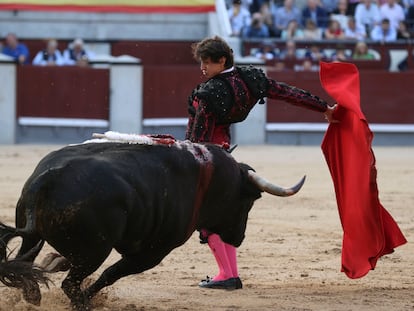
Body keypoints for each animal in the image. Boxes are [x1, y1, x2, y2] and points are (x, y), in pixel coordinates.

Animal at [0, 141, 304, 310]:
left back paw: (34, 295)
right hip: (95, 251)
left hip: (35, 236)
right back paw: (80, 303)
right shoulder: (153, 252)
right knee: (71, 283)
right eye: (249, 201)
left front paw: (54, 261)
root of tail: (46, 180)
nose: (239, 237)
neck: (208, 178)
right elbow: (111, 274)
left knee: (25, 263)